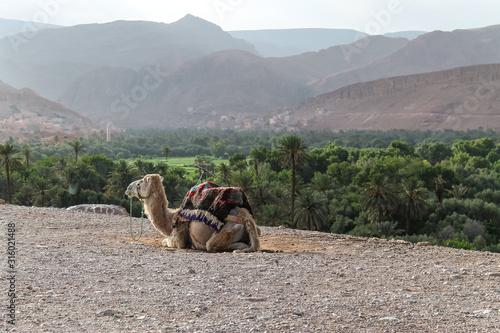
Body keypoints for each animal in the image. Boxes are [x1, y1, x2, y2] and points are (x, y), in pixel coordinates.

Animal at [125, 174, 260, 252]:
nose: (128, 188)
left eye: (139, 183)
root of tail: (245, 215)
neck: (171, 218)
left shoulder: (179, 238)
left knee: (211, 245)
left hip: (231, 229)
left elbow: (165, 241)